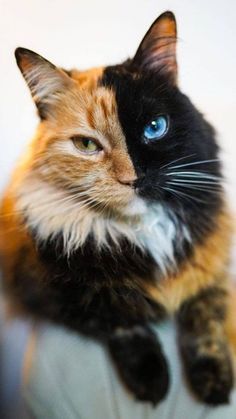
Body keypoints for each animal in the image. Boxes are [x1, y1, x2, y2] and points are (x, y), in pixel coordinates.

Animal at [0, 11, 234, 406]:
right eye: (86, 145)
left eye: (155, 127)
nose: (131, 180)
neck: (142, 232)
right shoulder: (52, 295)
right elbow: (123, 323)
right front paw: (153, 382)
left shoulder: (214, 264)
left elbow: (207, 318)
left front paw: (214, 384)